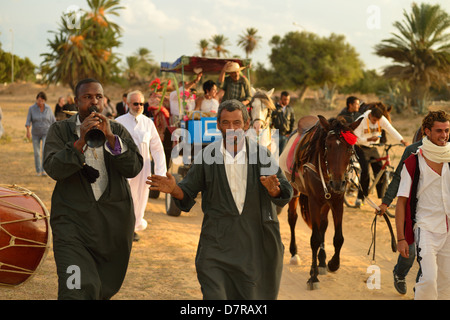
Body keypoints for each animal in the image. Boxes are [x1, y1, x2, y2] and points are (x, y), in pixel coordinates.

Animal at [280, 115, 364, 290]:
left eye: (349, 149)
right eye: (327, 146)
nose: (338, 183)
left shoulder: (337, 201)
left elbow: (338, 238)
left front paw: (332, 263)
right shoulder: (314, 201)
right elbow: (315, 239)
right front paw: (313, 277)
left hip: (326, 202)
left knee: (324, 225)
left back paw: (323, 261)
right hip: (294, 191)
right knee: (292, 218)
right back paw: (294, 254)